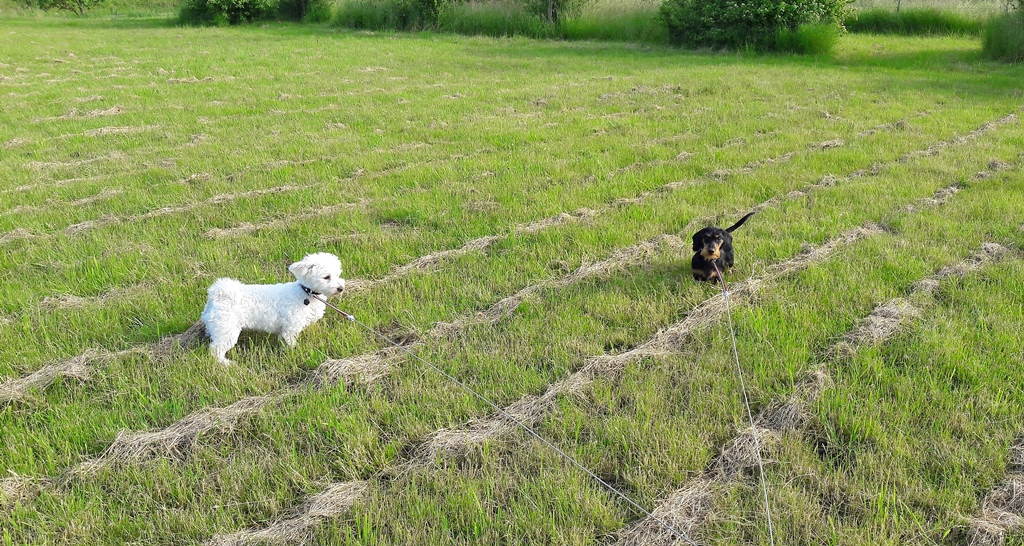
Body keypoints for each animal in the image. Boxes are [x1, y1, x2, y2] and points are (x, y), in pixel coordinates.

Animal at [198, 252, 344, 364]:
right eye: (326, 277)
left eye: (338, 275)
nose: (341, 288)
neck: (306, 292)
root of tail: (218, 294)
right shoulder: (291, 327)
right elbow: (291, 343)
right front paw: (293, 354)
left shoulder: (284, 330)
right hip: (227, 329)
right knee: (215, 350)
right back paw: (226, 363)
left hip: (218, 326)